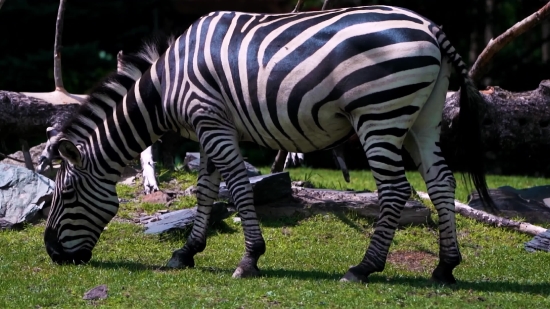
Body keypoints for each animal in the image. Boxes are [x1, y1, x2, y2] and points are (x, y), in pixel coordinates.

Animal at [42, 5, 496, 284]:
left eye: (67, 193)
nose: (52, 253)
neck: (166, 85)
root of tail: (429, 26)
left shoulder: (211, 120)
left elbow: (238, 187)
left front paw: (250, 258)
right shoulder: (211, 124)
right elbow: (206, 190)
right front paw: (186, 252)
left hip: (379, 112)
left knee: (396, 189)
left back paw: (364, 268)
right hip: (424, 116)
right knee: (441, 183)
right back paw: (445, 267)